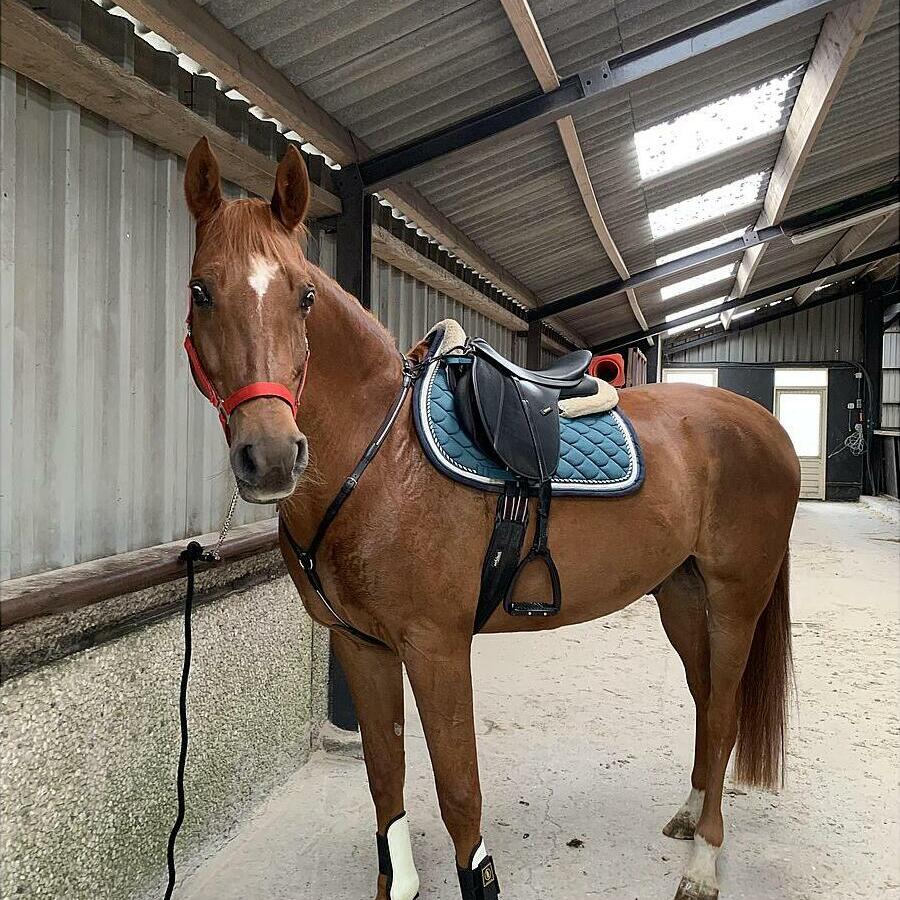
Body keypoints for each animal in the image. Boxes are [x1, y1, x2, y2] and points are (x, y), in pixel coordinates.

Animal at [181, 137, 800, 900]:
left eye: (304, 293)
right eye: (200, 291)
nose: (270, 456)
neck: (380, 454)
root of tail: (766, 426)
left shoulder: (436, 646)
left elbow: (459, 795)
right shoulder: (361, 645)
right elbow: (386, 782)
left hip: (736, 597)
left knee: (724, 708)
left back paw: (705, 862)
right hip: (682, 595)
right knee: (709, 705)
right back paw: (689, 815)